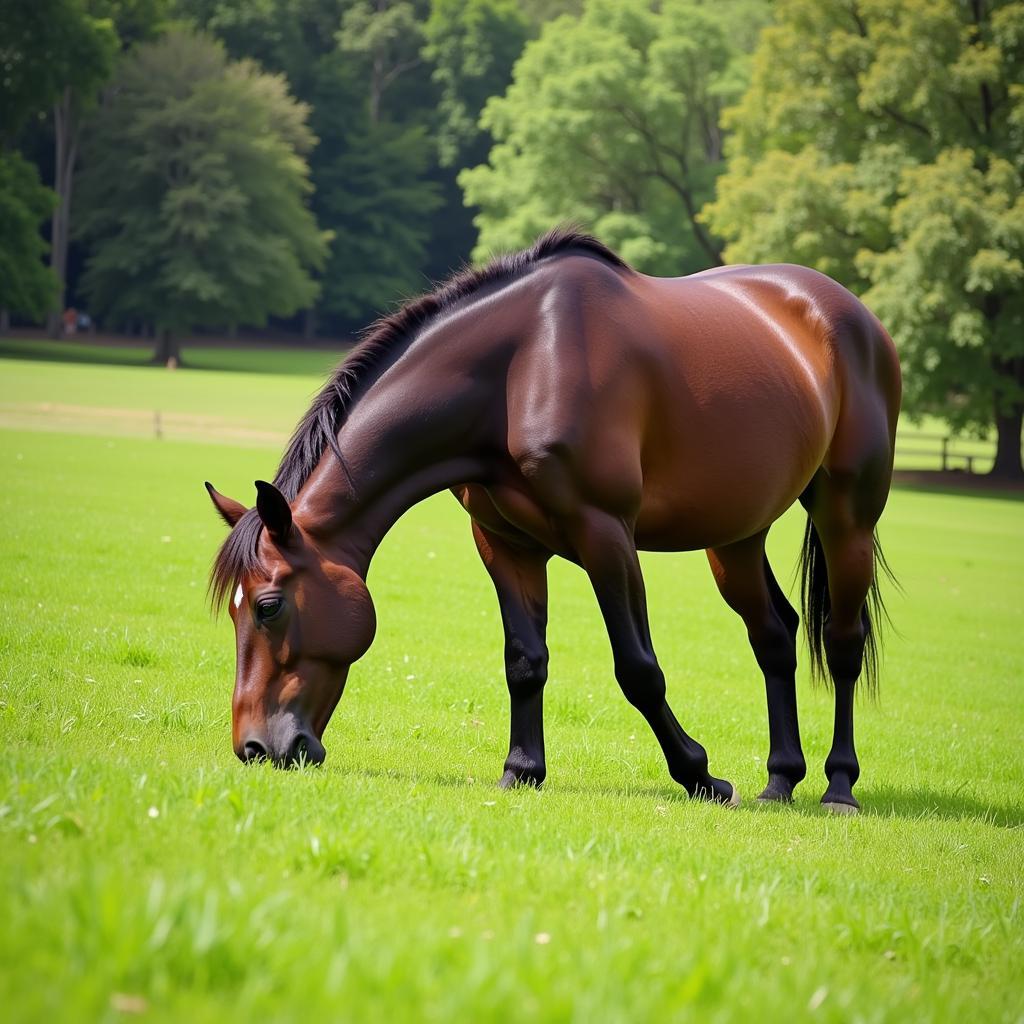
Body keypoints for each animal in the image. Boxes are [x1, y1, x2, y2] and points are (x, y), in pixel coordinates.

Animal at [205, 226, 897, 815]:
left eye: (268, 606)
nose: (256, 748)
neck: (527, 364)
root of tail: (850, 313)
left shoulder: (606, 534)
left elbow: (638, 669)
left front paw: (700, 775)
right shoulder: (505, 544)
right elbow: (525, 659)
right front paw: (522, 769)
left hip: (846, 517)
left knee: (842, 641)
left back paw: (839, 786)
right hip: (735, 537)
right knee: (774, 635)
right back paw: (780, 780)